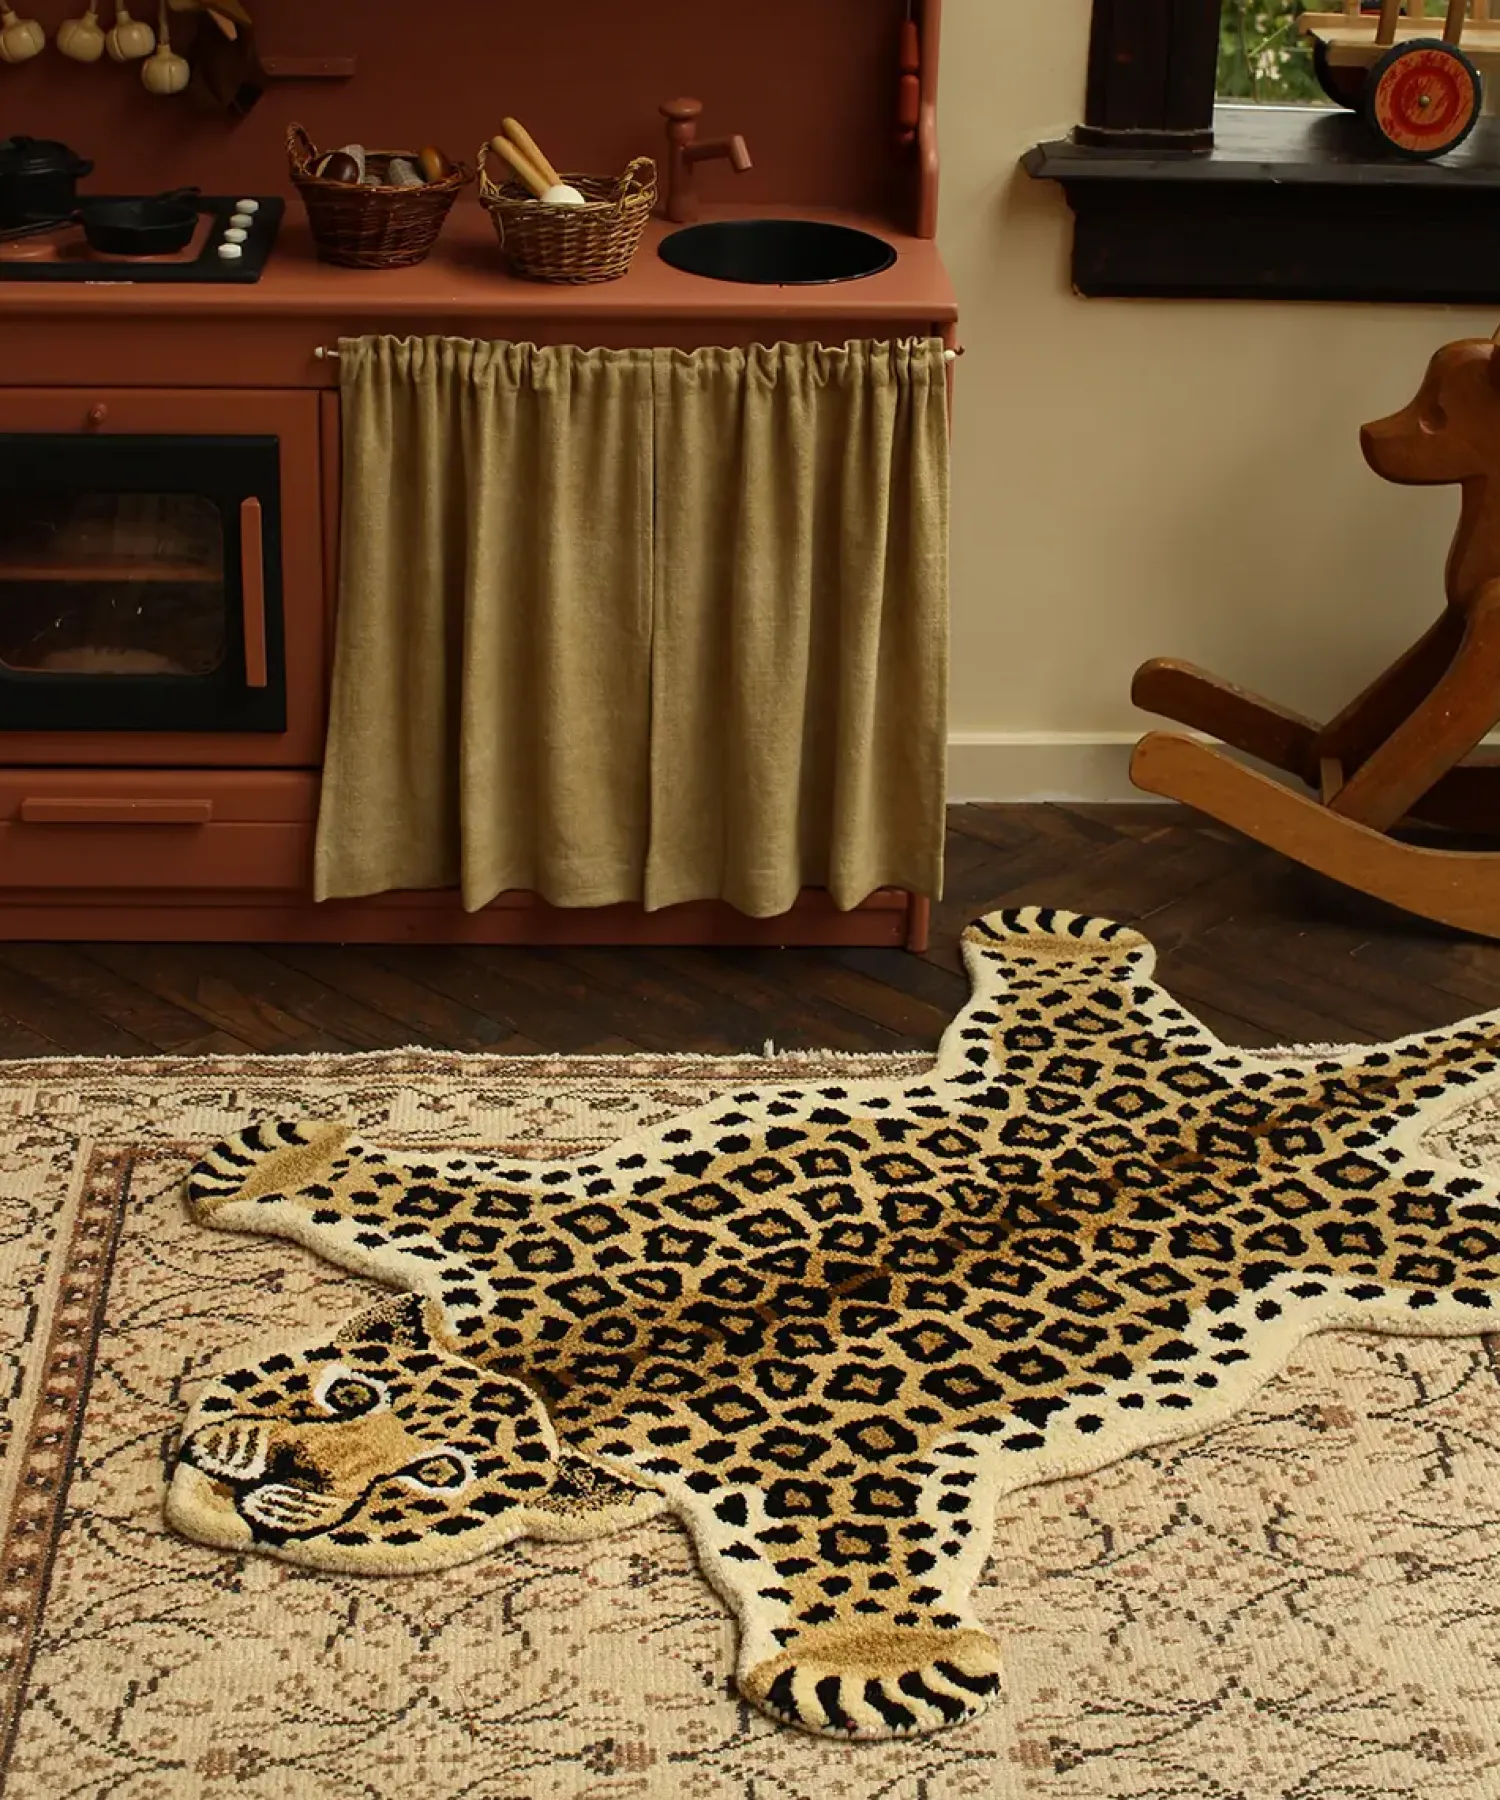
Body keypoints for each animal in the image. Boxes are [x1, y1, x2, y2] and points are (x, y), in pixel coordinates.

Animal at [167, 907, 1500, 1741]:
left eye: (438, 1476)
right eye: (346, 1397)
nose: (290, 1473)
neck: (563, 1363)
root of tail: (1289, 1094)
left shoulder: (828, 1470)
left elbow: (846, 1558)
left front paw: (874, 1660)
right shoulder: (511, 1234)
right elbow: (406, 1189)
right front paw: (280, 1159)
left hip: (1397, 1248)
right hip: (1071, 1063)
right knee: (1085, 1003)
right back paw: (1050, 941)